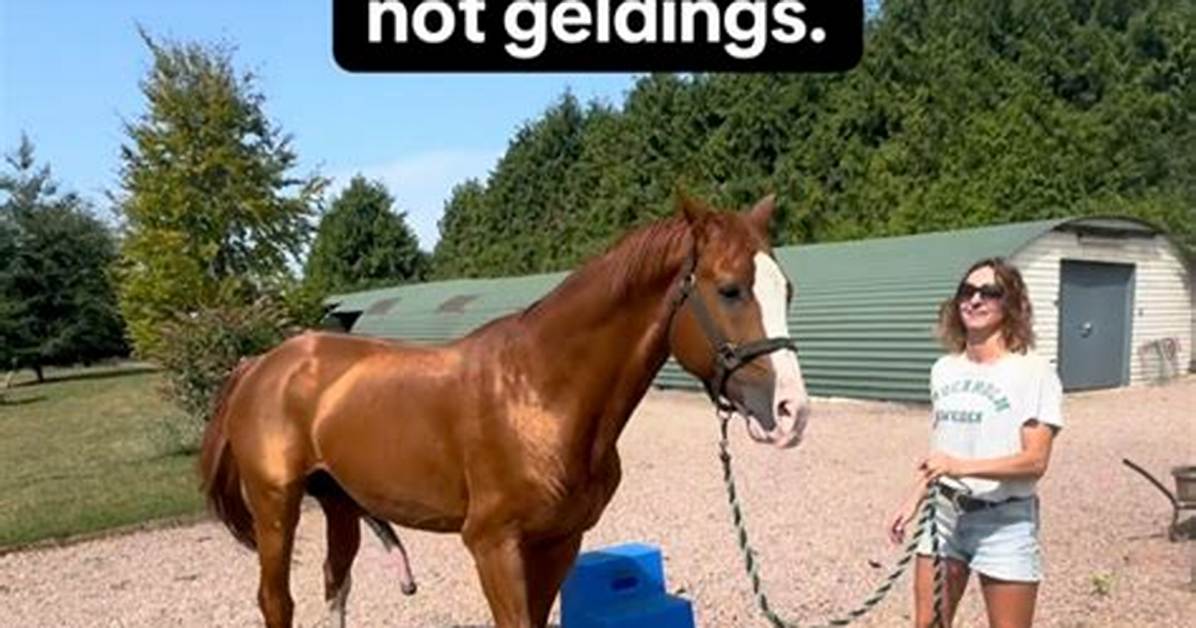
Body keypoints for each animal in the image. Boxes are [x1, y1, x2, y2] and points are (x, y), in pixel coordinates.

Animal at [198, 192, 812, 627]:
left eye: (787, 290)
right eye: (729, 289)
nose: (791, 412)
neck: (541, 394)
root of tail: (262, 363)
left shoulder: (558, 542)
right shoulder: (493, 546)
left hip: (338, 503)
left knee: (335, 586)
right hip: (276, 505)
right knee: (277, 601)